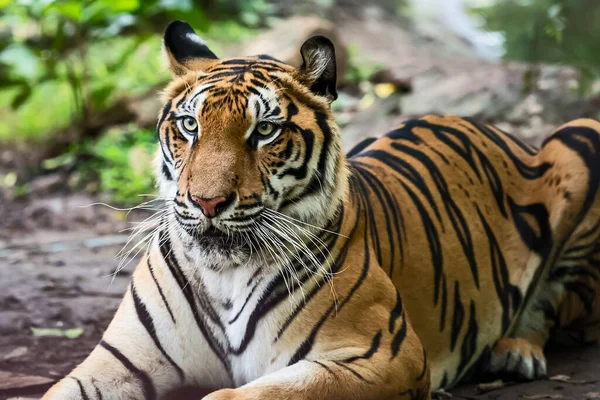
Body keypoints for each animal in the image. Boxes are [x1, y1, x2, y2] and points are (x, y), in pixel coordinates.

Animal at [44, 20, 600, 400]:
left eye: (264, 131)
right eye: (189, 125)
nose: (207, 202)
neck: (223, 273)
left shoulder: (379, 355)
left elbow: (247, 395)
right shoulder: (118, 362)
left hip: (580, 135)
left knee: (552, 304)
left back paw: (515, 351)